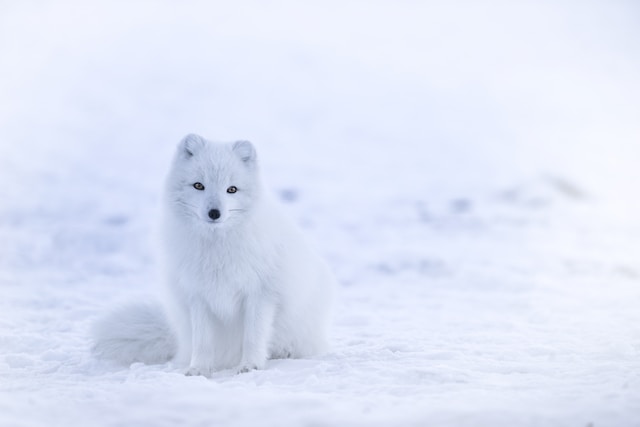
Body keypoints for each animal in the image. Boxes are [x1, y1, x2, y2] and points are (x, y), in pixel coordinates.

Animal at [94, 135, 338, 376]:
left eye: (232, 189)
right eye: (198, 185)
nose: (214, 213)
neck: (217, 248)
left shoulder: (260, 294)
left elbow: (253, 336)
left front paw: (251, 366)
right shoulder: (198, 295)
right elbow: (203, 341)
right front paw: (199, 369)